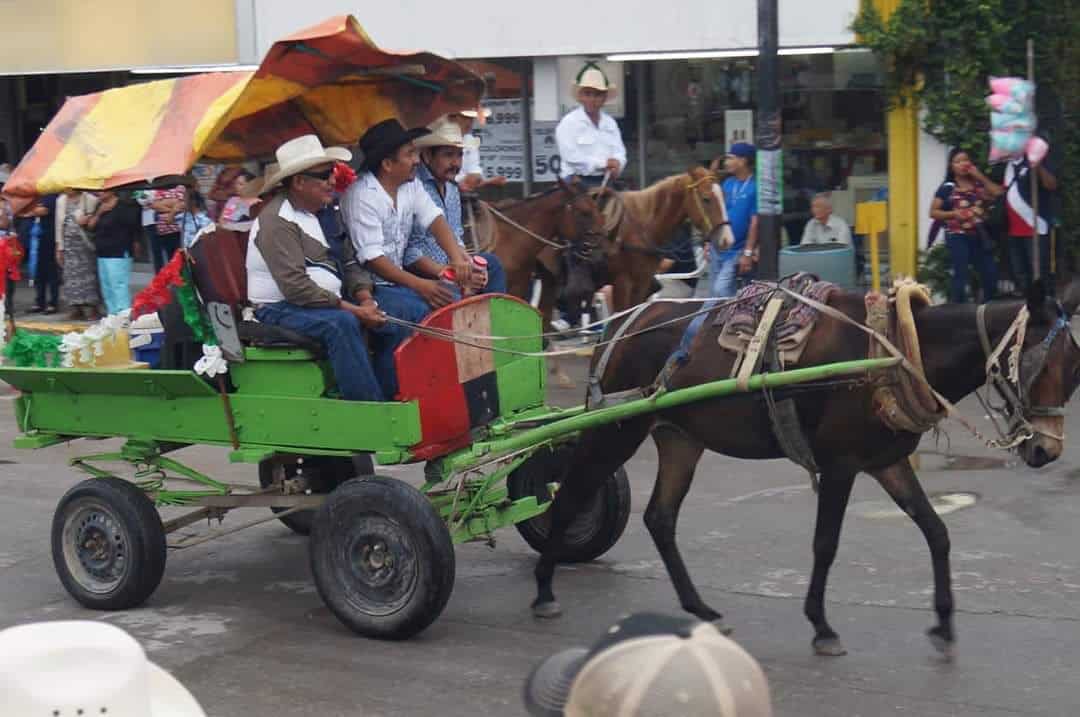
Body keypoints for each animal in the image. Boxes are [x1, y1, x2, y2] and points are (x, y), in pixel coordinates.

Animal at [529, 278, 1080, 656]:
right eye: (1039, 365)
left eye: (1072, 371)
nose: (1046, 451)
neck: (892, 354)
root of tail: (621, 325)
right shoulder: (840, 465)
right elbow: (825, 544)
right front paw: (822, 626)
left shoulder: (887, 462)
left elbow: (936, 531)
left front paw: (944, 622)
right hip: (616, 429)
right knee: (571, 492)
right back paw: (544, 589)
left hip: (679, 439)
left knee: (660, 518)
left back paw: (700, 609)